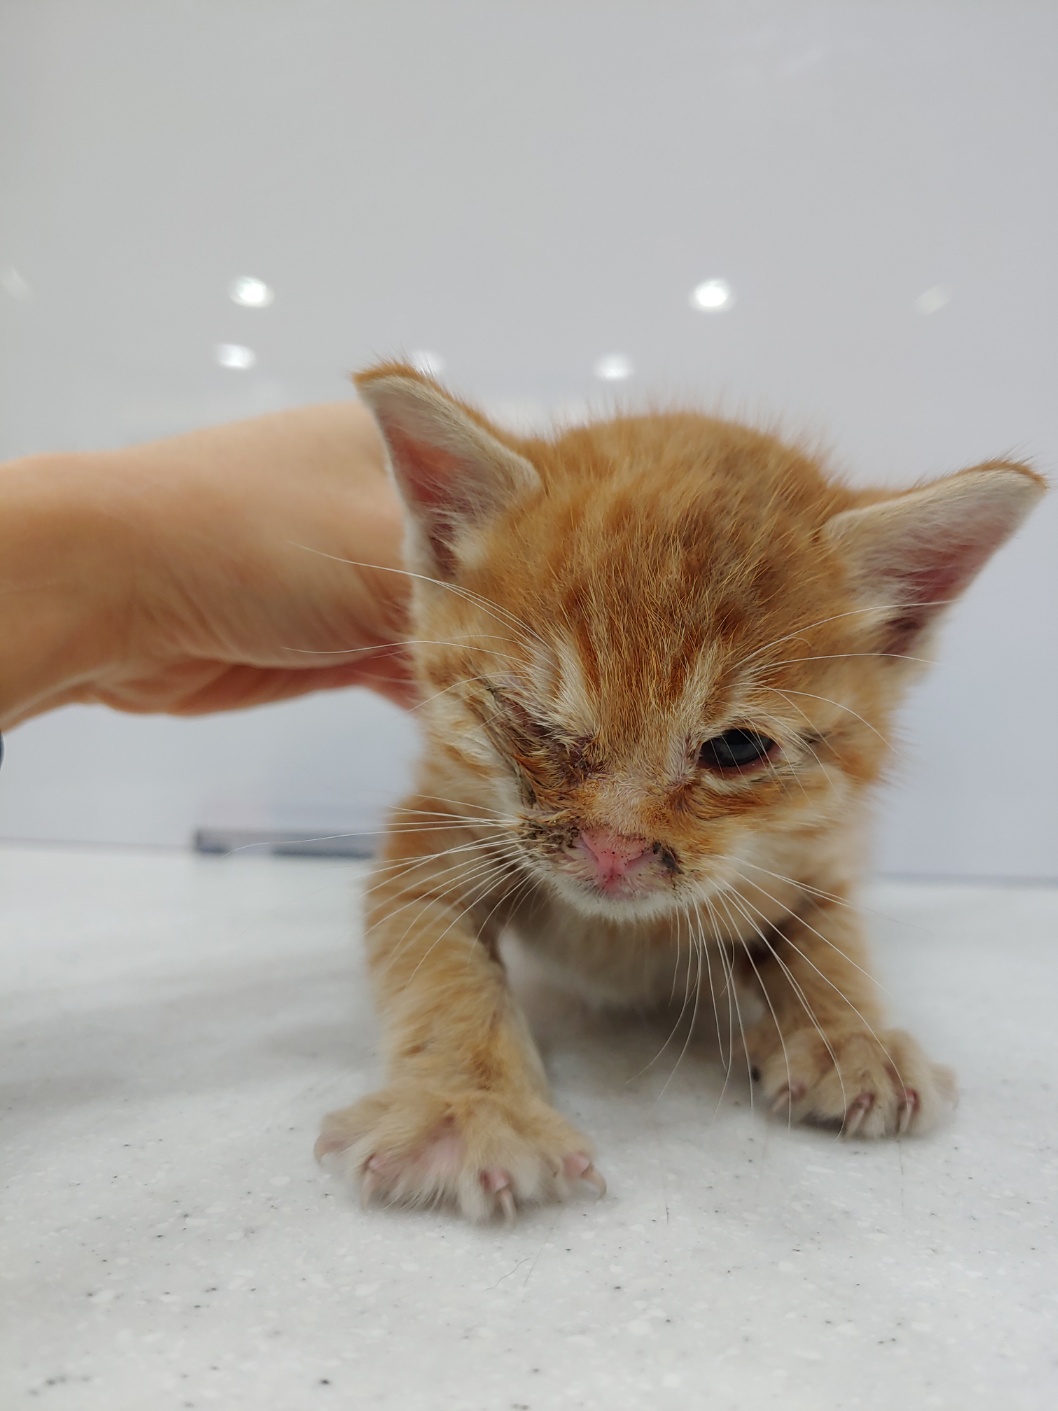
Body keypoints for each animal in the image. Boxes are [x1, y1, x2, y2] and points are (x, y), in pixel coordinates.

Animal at [314, 364, 1043, 1224]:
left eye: (736, 748)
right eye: (532, 718)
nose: (613, 850)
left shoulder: (812, 850)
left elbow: (830, 940)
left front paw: (850, 1033)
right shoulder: (436, 828)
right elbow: (441, 973)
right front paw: (467, 1105)